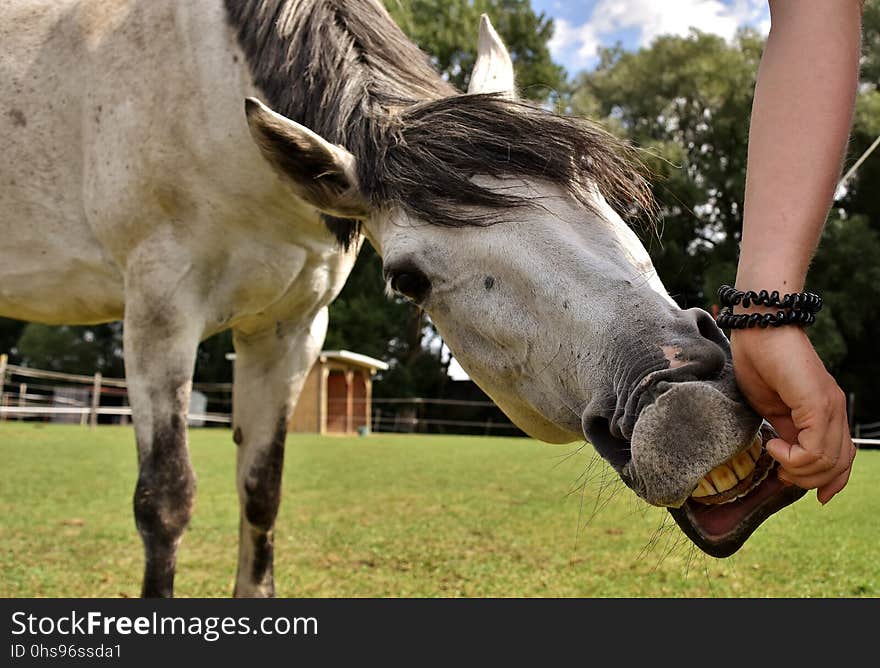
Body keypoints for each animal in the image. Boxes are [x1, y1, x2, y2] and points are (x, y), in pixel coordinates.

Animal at [0, 0, 804, 596]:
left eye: (597, 193)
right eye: (408, 279)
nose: (686, 405)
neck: (206, 98)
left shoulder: (289, 329)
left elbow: (260, 492)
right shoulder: (158, 316)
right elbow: (165, 501)